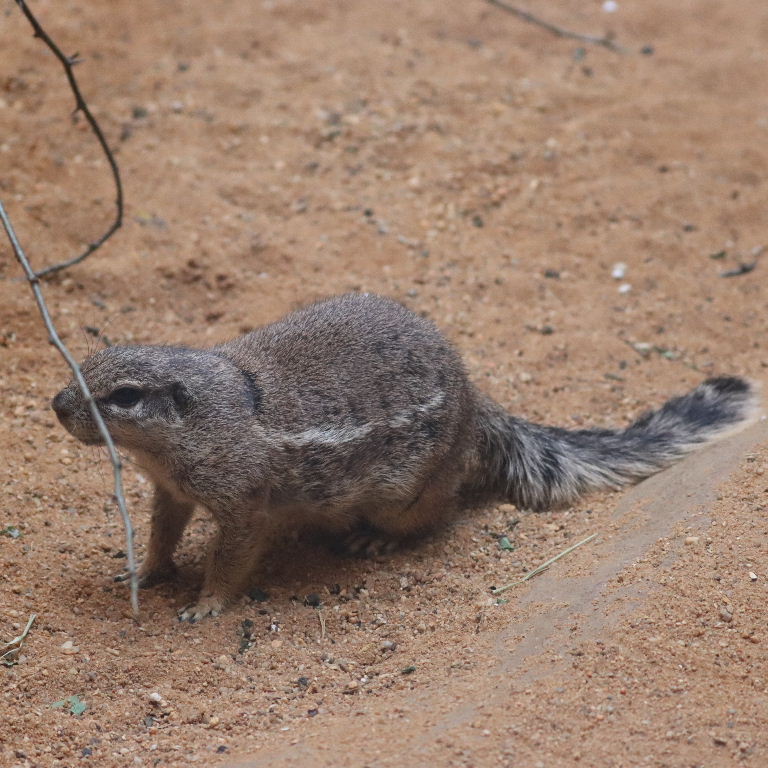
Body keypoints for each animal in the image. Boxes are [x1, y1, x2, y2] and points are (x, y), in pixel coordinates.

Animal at [52, 293, 760, 621]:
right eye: (84, 364)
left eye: (123, 396)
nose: (56, 405)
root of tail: (477, 401)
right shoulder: (169, 490)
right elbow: (163, 531)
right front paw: (145, 571)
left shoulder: (245, 504)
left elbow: (231, 559)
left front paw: (205, 604)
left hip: (406, 491)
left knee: (437, 517)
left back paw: (378, 541)